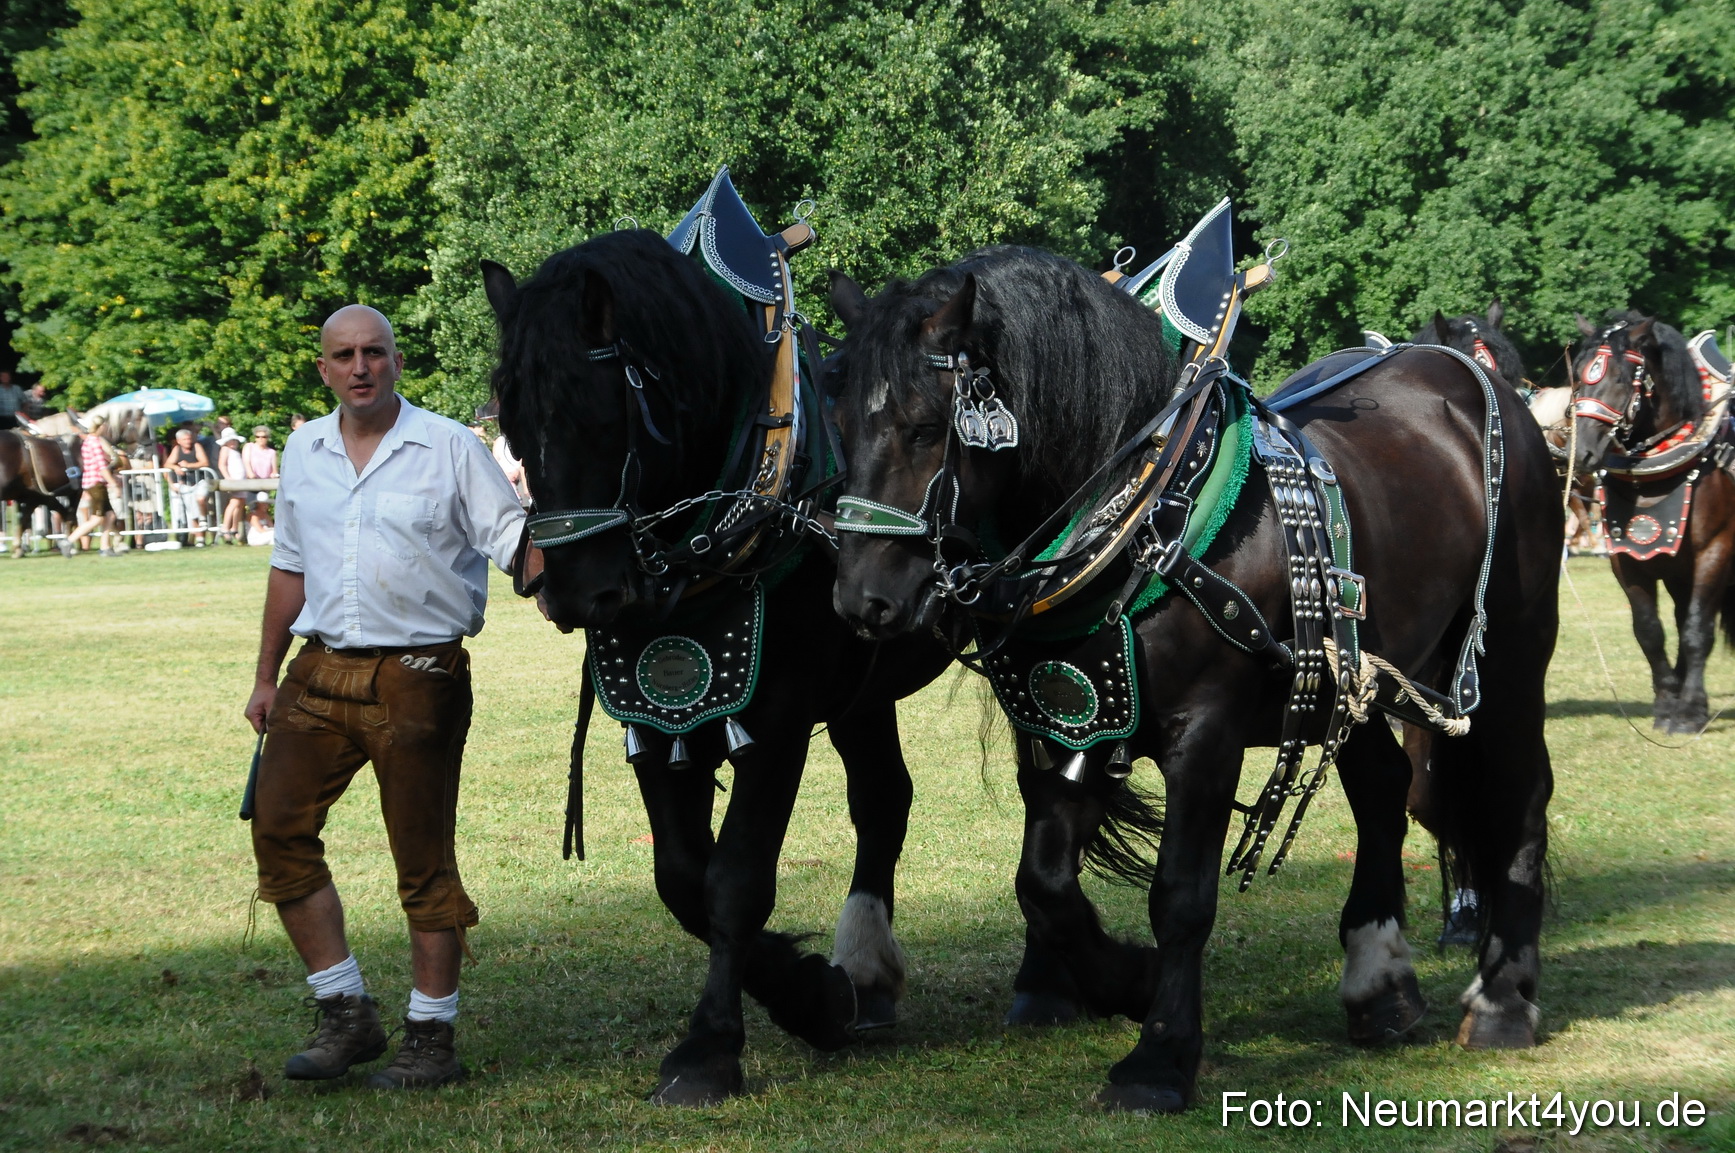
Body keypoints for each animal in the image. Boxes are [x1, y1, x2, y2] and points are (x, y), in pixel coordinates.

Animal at [482, 224, 959, 1105]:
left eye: (597, 411)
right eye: (513, 419)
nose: (575, 591)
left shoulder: (777, 721)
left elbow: (734, 878)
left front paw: (710, 1045)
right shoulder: (655, 710)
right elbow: (680, 874)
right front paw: (813, 992)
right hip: (861, 690)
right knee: (884, 798)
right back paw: (867, 975)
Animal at [827, 245, 1559, 1112]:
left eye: (922, 427)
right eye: (841, 427)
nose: (861, 600)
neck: (1144, 513)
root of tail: (1465, 381)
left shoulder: (1204, 733)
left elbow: (1178, 895)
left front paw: (1159, 1055)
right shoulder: (1073, 714)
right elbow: (1043, 882)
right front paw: (1128, 981)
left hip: (1507, 653)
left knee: (1520, 794)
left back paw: (1503, 998)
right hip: (1353, 674)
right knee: (1383, 784)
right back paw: (1379, 982)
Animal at [1569, 310, 1735, 734]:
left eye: (1620, 379)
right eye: (1579, 377)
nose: (1583, 451)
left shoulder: (1715, 551)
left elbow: (1697, 630)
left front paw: (1690, 712)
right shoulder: (1628, 555)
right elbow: (1649, 631)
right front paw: (1667, 703)